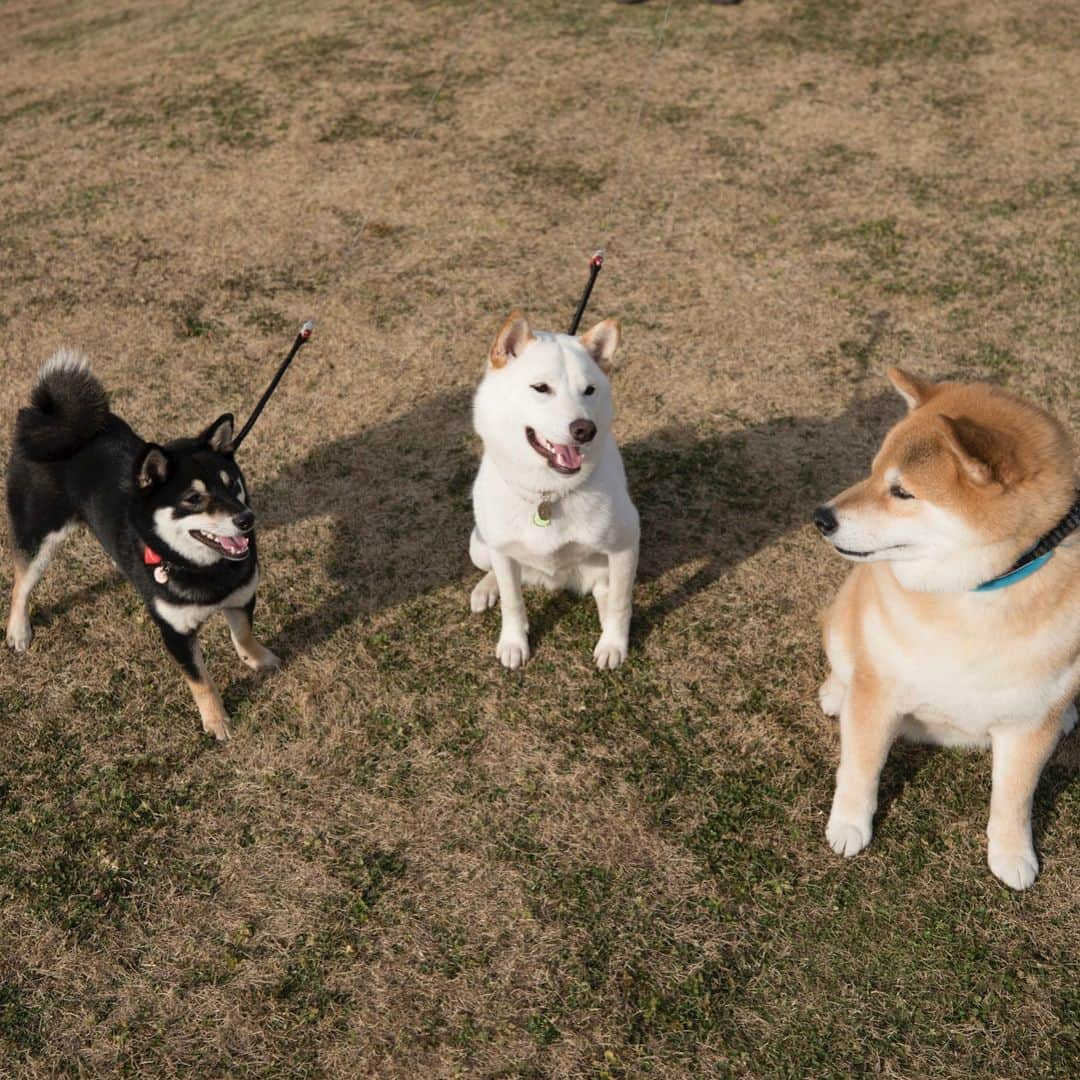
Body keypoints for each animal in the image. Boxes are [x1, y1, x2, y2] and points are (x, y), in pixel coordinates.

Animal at [6, 349, 276, 738]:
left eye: (232, 484)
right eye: (194, 499)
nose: (246, 519)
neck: (202, 569)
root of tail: (44, 418)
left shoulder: (242, 596)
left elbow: (242, 634)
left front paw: (257, 659)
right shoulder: (175, 633)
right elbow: (201, 681)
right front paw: (216, 721)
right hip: (39, 532)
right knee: (21, 582)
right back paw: (18, 630)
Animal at [468, 308, 635, 669]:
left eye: (590, 390)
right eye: (541, 388)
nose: (585, 430)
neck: (547, 493)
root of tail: (553, 579)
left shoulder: (626, 545)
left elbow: (620, 602)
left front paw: (614, 643)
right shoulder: (501, 549)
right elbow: (512, 602)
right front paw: (513, 643)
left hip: (600, 565)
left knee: (605, 590)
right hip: (479, 545)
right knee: (497, 572)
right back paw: (486, 588)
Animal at [812, 367, 1075, 889]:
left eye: (902, 492)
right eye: (873, 471)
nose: (821, 517)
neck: (972, 596)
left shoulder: (1030, 723)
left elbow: (1014, 797)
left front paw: (1012, 853)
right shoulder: (879, 692)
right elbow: (860, 768)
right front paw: (848, 825)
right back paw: (834, 692)